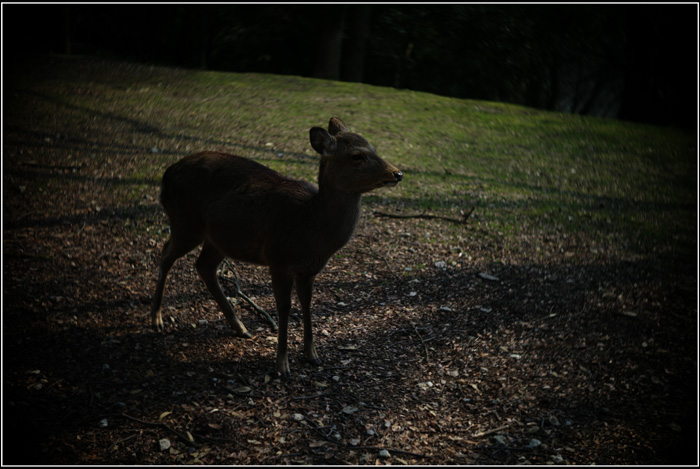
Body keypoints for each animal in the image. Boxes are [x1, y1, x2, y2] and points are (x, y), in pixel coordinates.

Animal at [152, 117, 404, 376]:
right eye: (356, 156)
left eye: (373, 147)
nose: (398, 173)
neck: (310, 226)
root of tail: (167, 174)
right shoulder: (278, 258)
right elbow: (284, 306)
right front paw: (282, 365)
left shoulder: (308, 269)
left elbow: (307, 303)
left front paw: (312, 355)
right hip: (186, 222)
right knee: (166, 253)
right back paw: (157, 319)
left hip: (217, 238)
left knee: (203, 266)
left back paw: (240, 327)